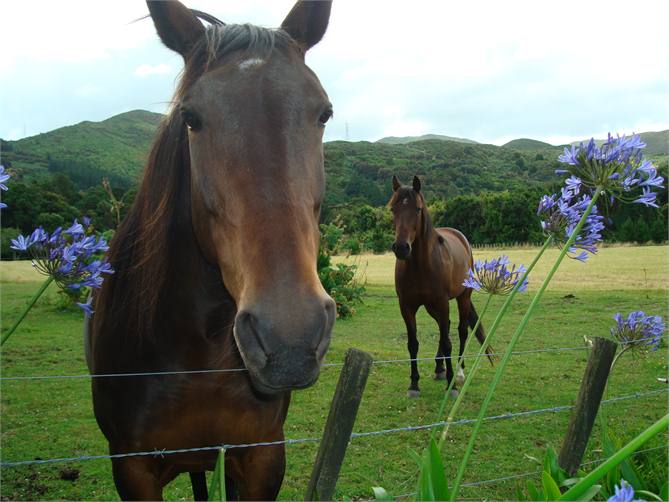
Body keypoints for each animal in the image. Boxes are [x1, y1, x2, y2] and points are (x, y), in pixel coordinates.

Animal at [388, 175, 493, 398]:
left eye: (418, 209)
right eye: (393, 209)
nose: (401, 248)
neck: (421, 265)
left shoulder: (443, 302)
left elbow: (447, 342)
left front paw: (452, 386)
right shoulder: (407, 306)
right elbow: (413, 344)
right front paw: (414, 384)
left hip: (462, 298)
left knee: (461, 331)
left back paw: (459, 373)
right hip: (431, 306)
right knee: (445, 327)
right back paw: (439, 367)